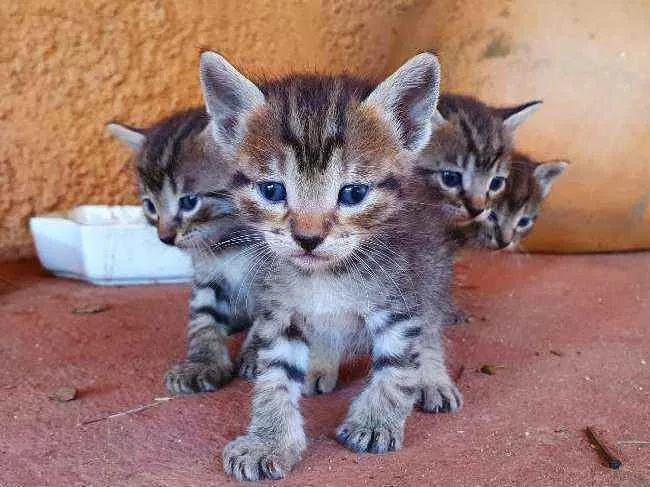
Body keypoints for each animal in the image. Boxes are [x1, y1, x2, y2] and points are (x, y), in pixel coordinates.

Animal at [105, 111, 260, 396]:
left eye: (189, 202)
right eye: (150, 206)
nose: (164, 238)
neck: (229, 241)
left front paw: (257, 354)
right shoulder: (208, 276)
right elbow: (202, 320)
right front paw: (201, 363)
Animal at [200, 51, 458, 482]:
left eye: (353, 194)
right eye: (272, 190)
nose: (308, 238)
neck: (326, 277)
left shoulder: (402, 304)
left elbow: (397, 369)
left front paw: (375, 422)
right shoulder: (281, 310)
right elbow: (275, 377)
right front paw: (270, 441)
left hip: (432, 272)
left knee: (430, 329)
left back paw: (432, 377)